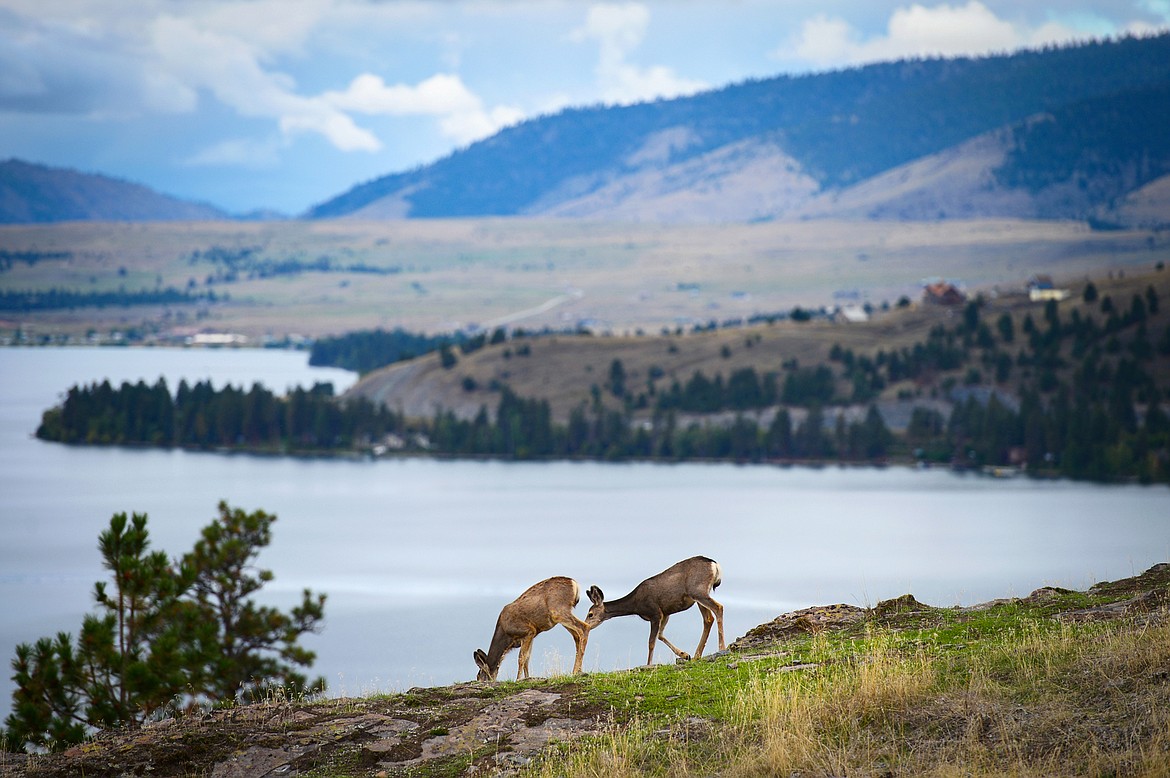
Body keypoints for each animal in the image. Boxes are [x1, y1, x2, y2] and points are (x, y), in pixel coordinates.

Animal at [585, 552, 720, 669]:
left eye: (590, 614)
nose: (586, 625)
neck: (636, 604)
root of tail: (715, 564)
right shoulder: (665, 613)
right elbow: (660, 635)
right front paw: (685, 654)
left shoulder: (655, 612)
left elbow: (651, 642)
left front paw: (648, 664)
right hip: (698, 596)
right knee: (708, 619)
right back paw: (697, 655)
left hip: (698, 591)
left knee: (718, 608)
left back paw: (721, 647)